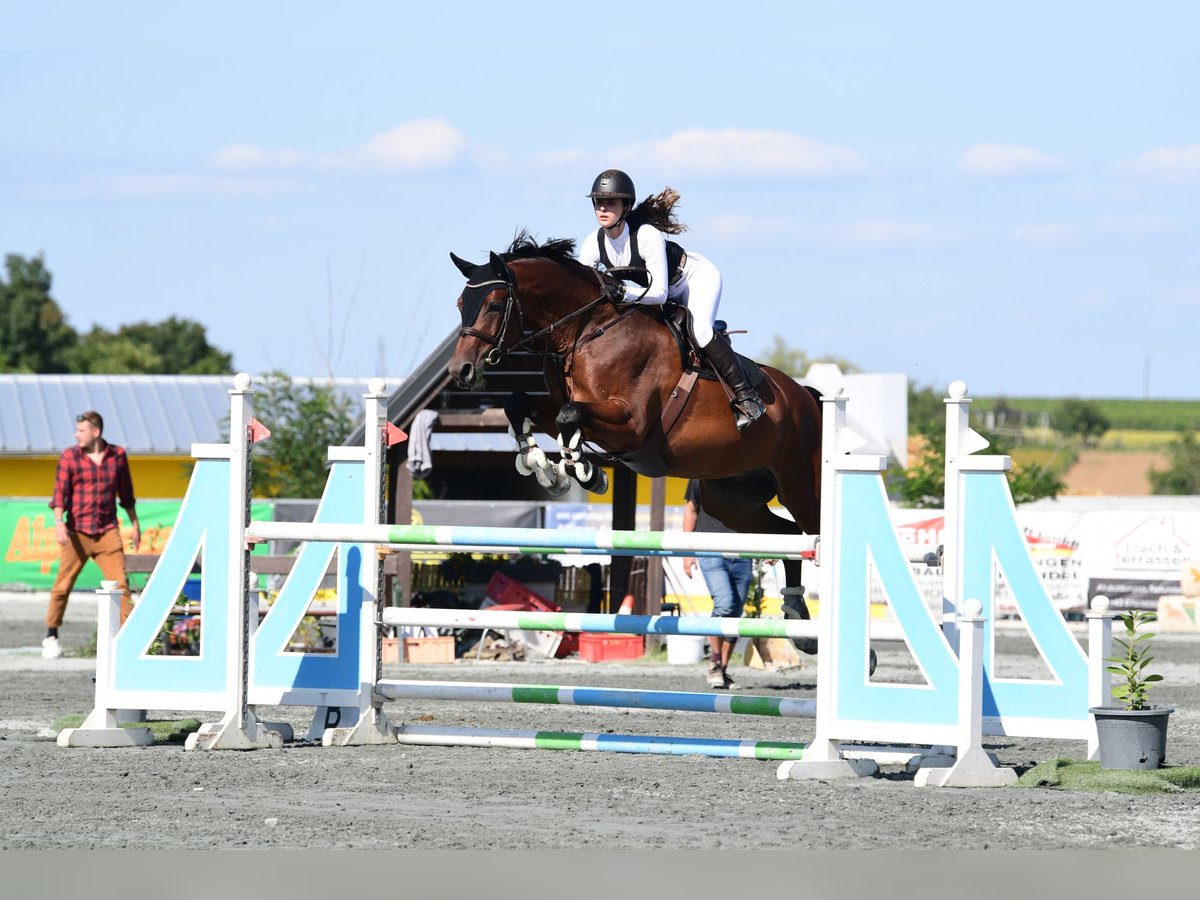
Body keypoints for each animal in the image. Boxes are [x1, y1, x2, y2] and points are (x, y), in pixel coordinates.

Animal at [451, 230, 825, 643]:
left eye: (494, 305)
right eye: (460, 304)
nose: (461, 370)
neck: (586, 332)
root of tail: (806, 396)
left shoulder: (632, 425)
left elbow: (571, 417)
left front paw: (585, 472)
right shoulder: (561, 408)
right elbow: (521, 405)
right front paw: (545, 468)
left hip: (803, 488)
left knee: (814, 531)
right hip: (730, 500)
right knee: (790, 534)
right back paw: (797, 616)